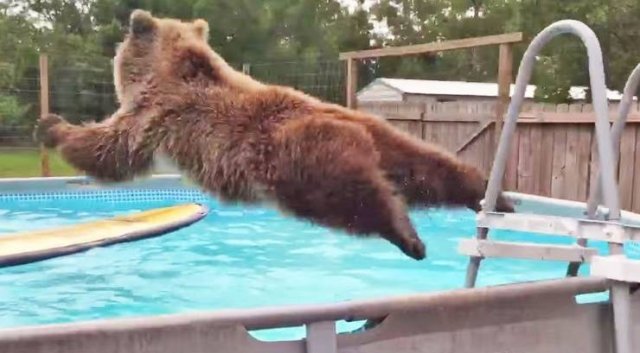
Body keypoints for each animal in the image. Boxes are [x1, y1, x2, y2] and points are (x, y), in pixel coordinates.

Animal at [36, 9, 516, 260]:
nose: (132, 22)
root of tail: (353, 124)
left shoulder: (156, 113)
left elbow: (112, 148)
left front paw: (52, 126)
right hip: (390, 141)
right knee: (433, 170)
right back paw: (491, 196)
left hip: (296, 163)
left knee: (356, 201)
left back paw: (408, 237)